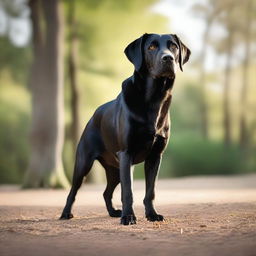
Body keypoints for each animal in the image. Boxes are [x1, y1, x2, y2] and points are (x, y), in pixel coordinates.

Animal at [60, 33, 190, 225]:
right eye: (151, 47)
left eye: (173, 46)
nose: (168, 58)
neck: (154, 98)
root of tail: (93, 116)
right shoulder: (126, 153)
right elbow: (128, 192)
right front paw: (128, 217)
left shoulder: (155, 157)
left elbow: (150, 191)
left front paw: (152, 214)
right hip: (84, 163)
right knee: (73, 191)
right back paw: (66, 213)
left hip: (115, 169)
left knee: (106, 192)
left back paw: (113, 212)